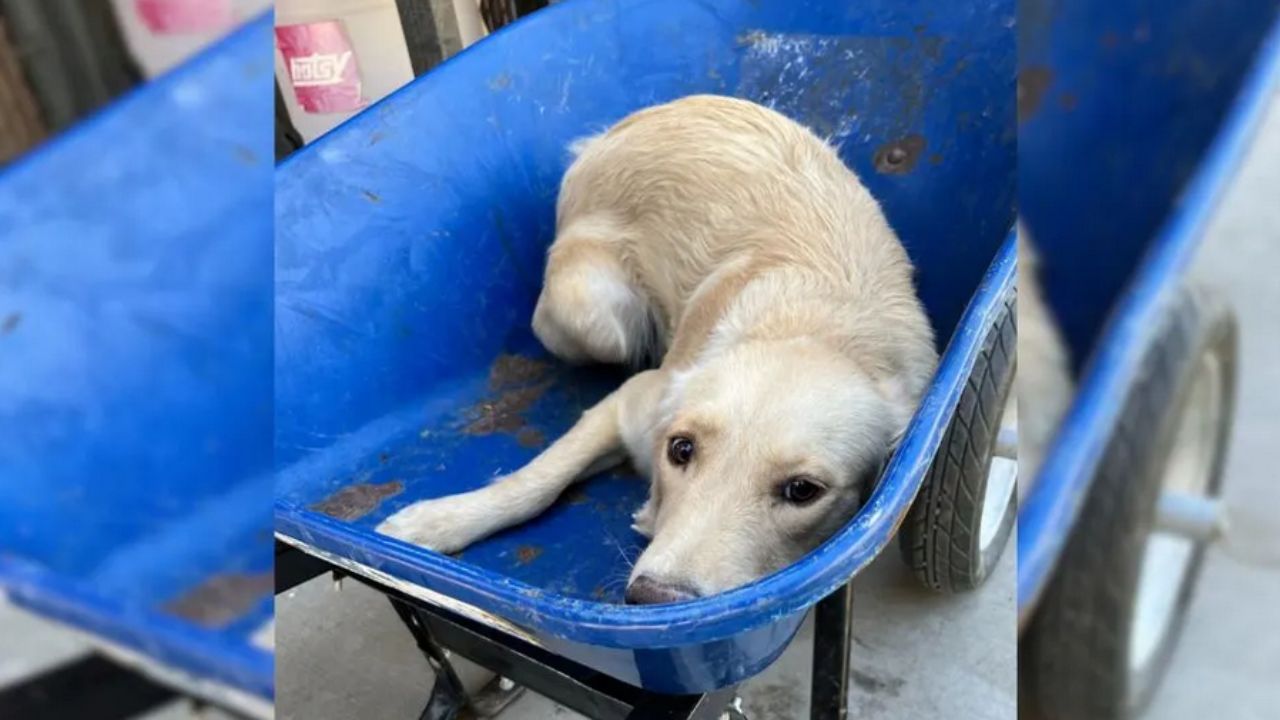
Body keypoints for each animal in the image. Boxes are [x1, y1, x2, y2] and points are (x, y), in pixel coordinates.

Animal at [373, 95, 936, 599]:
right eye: (681, 450)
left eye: (802, 491)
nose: (652, 599)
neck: (816, 328)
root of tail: (629, 124)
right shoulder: (633, 401)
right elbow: (535, 481)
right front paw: (439, 522)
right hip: (592, 316)